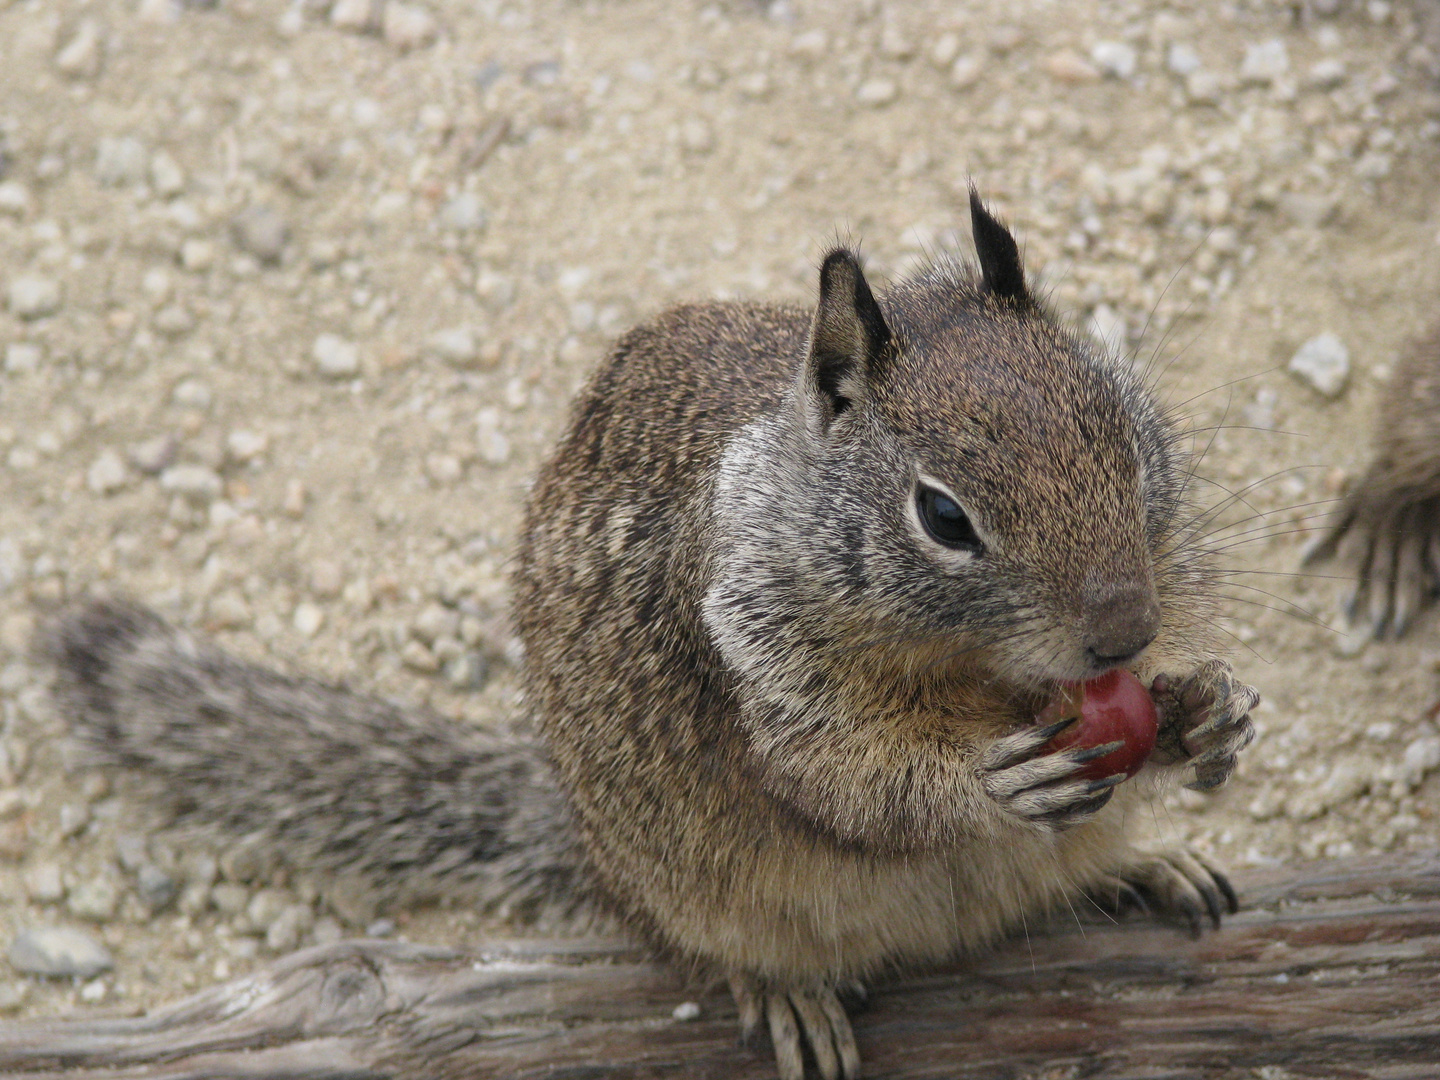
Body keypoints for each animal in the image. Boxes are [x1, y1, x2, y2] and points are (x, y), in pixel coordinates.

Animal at [42, 194, 1261, 1080]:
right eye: (945, 518)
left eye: (1124, 443)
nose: (1125, 633)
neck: (984, 677)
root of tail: (586, 844)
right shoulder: (764, 665)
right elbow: (848, 781)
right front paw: (991, 787)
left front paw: (1205, 715)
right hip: (685, 885)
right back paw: (788, 992)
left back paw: (1148, 862)